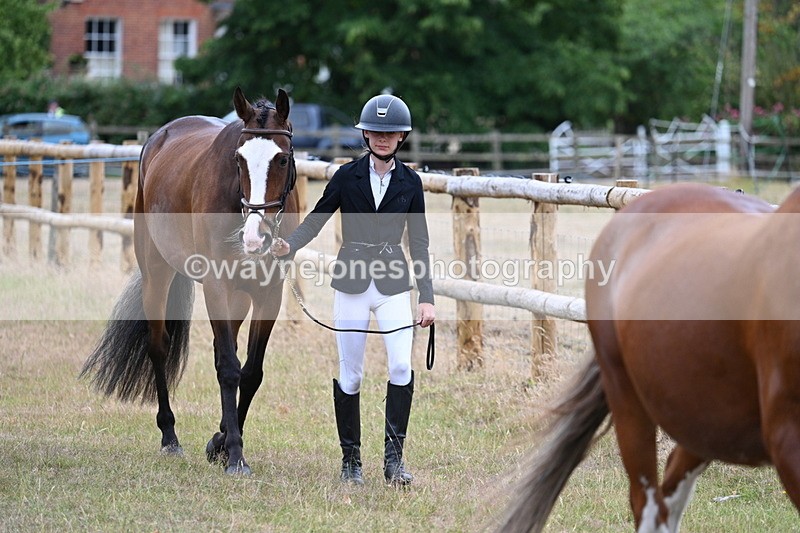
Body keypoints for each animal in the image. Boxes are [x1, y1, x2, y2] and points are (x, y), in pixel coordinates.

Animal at [81, 87, 299, 475]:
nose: (255, 238)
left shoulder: (269, 294)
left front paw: (222, 442)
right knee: (158, 346)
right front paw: (235, 455)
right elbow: (229, 369)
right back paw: (169, 437)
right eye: (239, 160)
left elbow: (250, 372)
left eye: (283, 159)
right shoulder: (216, 286)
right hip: (157, 274)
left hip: (237, 298)